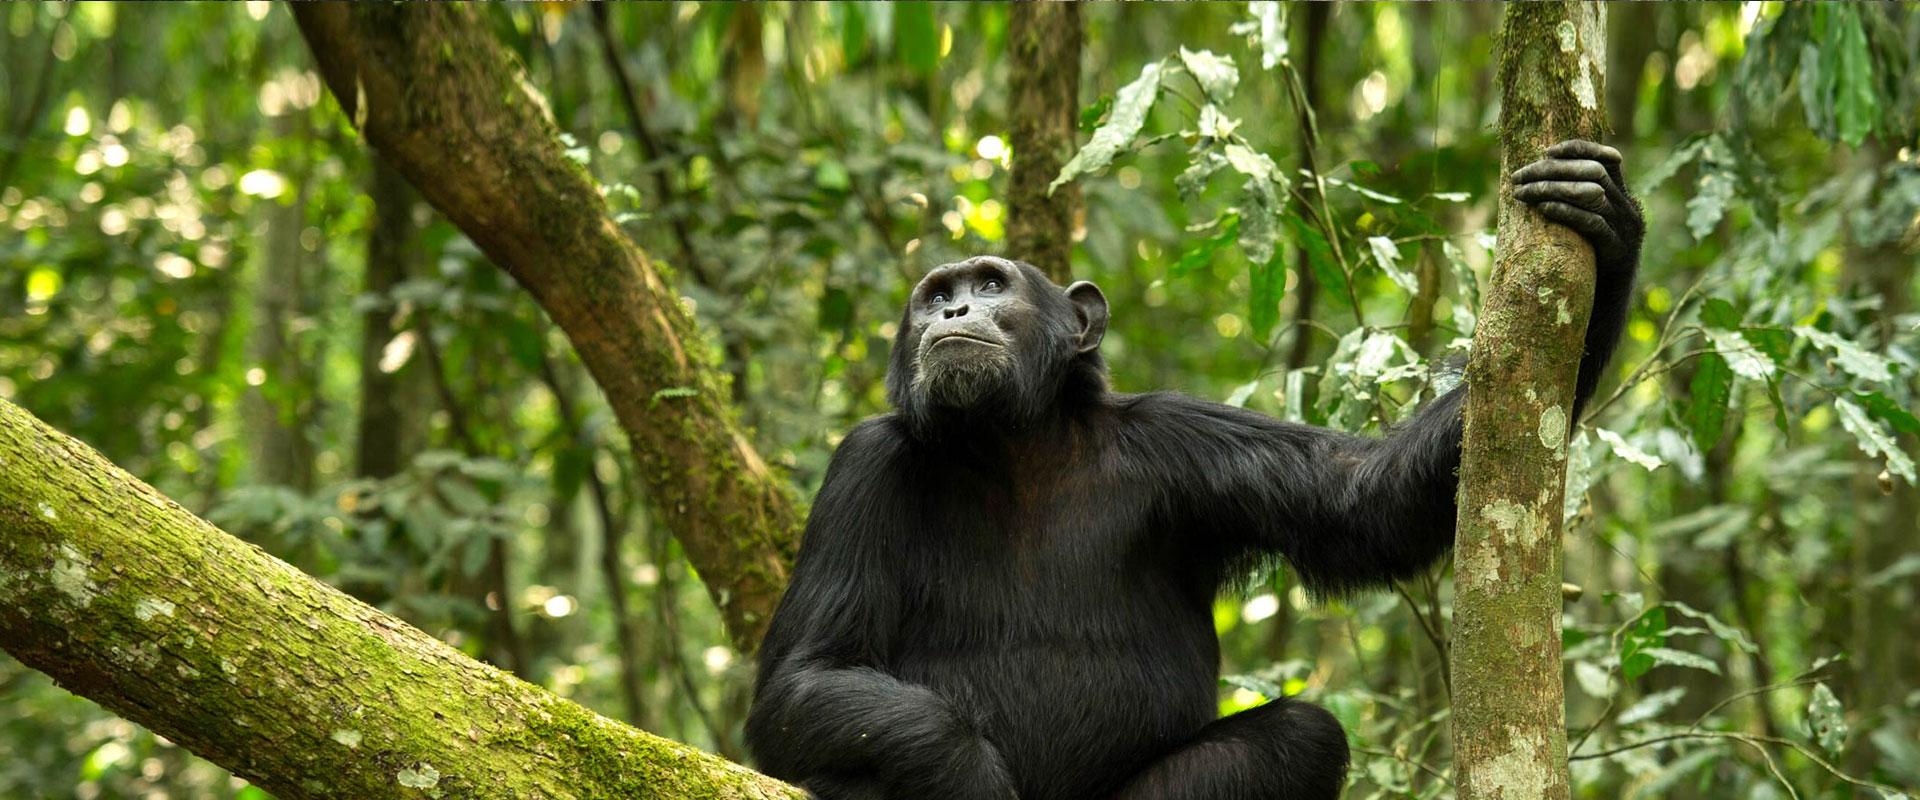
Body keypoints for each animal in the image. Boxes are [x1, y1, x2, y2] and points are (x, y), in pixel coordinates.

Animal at [748, 140, 1651, 794]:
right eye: (934, 296)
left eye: (992, 284)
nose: (957, 309)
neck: (1016, 443)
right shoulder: (864, 465)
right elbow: (803, 680)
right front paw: (966, 772)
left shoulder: (1183, 442)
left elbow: (1360, 503)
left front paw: (1608, 230)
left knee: (1303, 735)